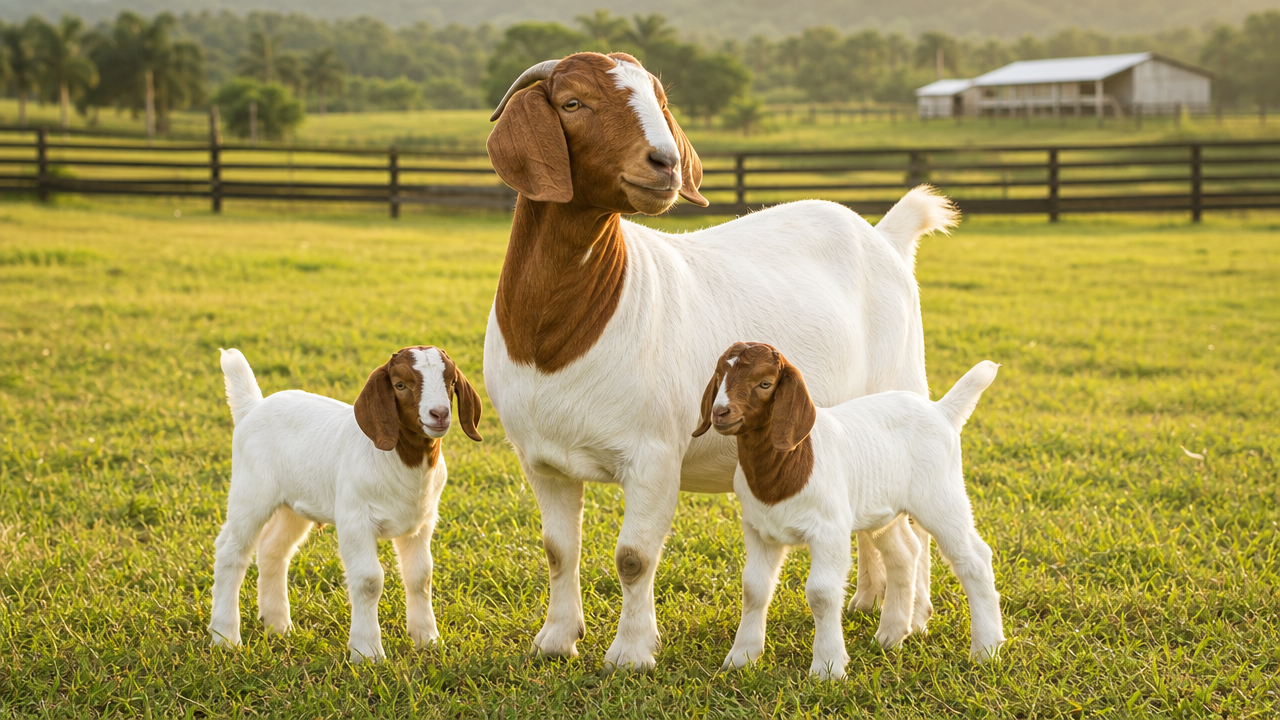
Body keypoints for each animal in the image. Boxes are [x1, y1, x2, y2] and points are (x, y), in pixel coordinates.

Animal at [208, 346, 482, 662]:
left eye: (451, 382)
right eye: (400, 384)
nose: (439, 413)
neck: (402, 461)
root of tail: (252, 408)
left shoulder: (420, 523)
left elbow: (420, 576)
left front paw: (427, 640)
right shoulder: (355, 519)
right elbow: (368, 580)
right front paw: (367, 652)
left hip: (294, 505)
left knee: (273, 550)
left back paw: (278, 626)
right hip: (251, 492)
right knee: (231, 552)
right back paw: (225, 637)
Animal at [484, 51, 957, 670]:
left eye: (659, 102)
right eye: (572, 102)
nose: (665, 162)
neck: (557, 338)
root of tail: (883, 236)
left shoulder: (654, 455)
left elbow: (633, 557)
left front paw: (631, 653)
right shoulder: (540, 460)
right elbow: (558, 549)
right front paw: (556, 639)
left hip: (904, 386)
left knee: (916, 527)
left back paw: (914, 616)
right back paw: (866, 600)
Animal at [694, 343, 1004, 678]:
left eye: (765, 383)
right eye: (719, 375)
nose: (720, 412)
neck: (787, 466)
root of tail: (941, 410)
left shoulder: (829, 531)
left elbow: (821, 593)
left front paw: (827, 668)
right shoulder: (758, 530)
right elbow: (753, 588)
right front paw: (742, 657)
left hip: (940, 495)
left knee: (973, 558)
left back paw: (986, 648)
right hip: (883, 509)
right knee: (905, 553)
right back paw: (890, 635)